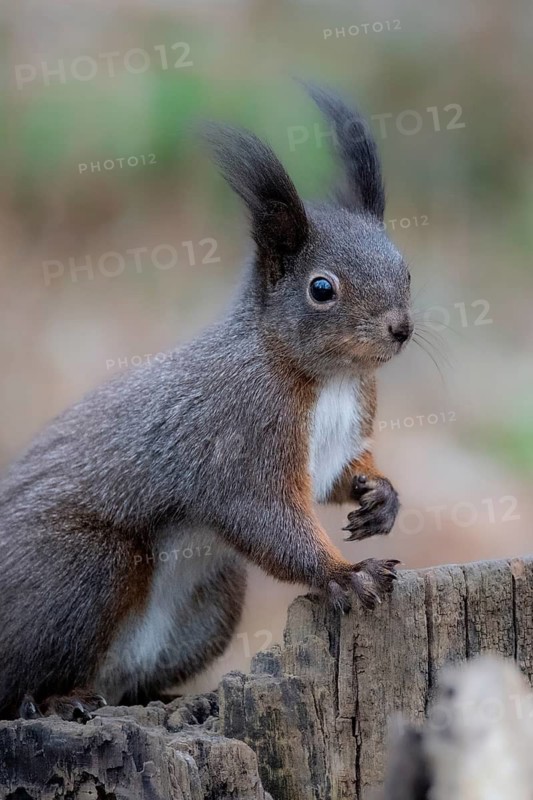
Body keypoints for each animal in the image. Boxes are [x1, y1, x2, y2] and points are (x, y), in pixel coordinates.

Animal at [0, 84, 413, 721]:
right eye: (322, 288)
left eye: (405, 268)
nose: (401, 328)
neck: (333, 380)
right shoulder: (239, 433)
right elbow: (266, 515)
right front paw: (346, 574)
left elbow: (338, 478)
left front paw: (380, 498)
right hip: (78, 569)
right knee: (20, 679)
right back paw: (58, 700)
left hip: (210, 604)